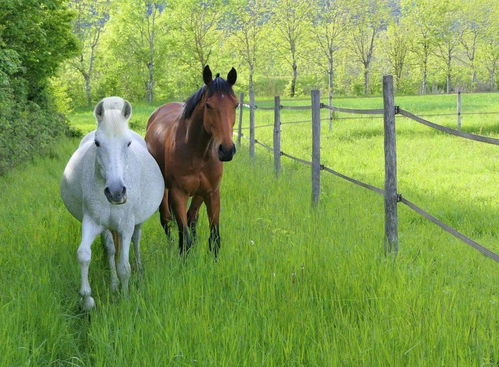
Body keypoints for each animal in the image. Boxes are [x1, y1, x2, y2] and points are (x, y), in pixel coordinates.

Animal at [61, 98, 164, 310]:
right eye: (97, 143)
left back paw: (139, 267)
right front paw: (87, 299)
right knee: (110, 250)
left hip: (137, 224)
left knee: (136, 241)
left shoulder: (126, 226)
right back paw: (114, 283)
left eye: (128, 143)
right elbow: (84, 255)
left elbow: (124, 266)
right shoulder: (92, 221)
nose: (116, 192)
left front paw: (125, 299)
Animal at [145, 65, 238, 256]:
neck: (197, 152)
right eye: (208, 105)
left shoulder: (211, 192)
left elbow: (214, 238)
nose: (226, 150)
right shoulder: (178, 193)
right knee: (166, 219)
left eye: (236, 104)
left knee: (191, 218)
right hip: (164, 190)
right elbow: (185, 238)